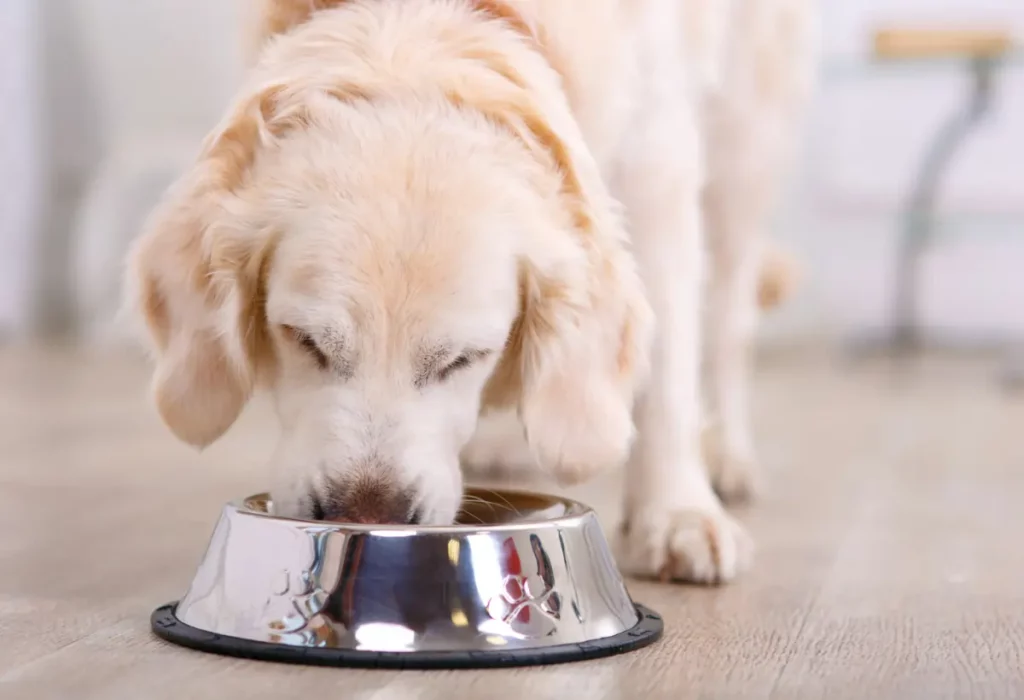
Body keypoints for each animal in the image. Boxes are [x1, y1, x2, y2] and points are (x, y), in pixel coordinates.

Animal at [125, 0, 815, 581]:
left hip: (745, 143)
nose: (368, 517)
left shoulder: (658, 165)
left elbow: (667, 372)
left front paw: (676, 515)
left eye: (464, 359)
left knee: (728, 322)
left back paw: (726, 456)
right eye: (304, 341)